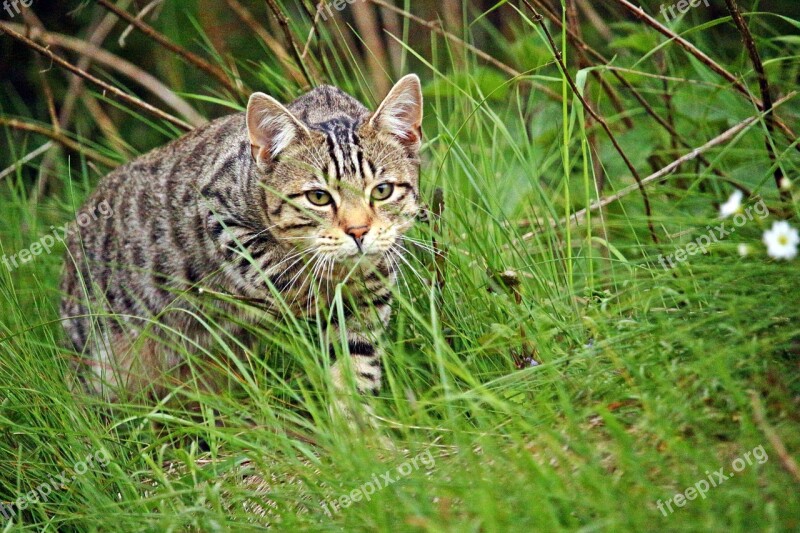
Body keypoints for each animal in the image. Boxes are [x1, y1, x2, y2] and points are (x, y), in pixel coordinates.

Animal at [61, 75, 424, 408]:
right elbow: (271, 265)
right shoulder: (216, 212)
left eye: (382, 191)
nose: (358, 231)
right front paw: (312, 290)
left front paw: (357, 426)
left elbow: (355, 366)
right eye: (319, 197)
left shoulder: (364, 313)